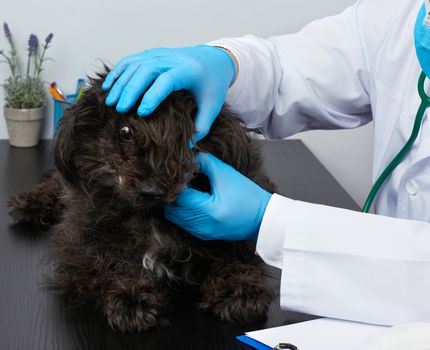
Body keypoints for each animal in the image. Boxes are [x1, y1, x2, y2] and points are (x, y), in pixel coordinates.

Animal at [7, 69, 276, 334]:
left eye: (189, 137)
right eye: (125, 132)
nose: (151, 190)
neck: (150, 216)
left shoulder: (236, 234)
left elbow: (234, 255)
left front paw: (240, 291)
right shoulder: (77, 246)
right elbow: (106, 263)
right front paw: (131, 298)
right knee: (53, 181)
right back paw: (28, 203)